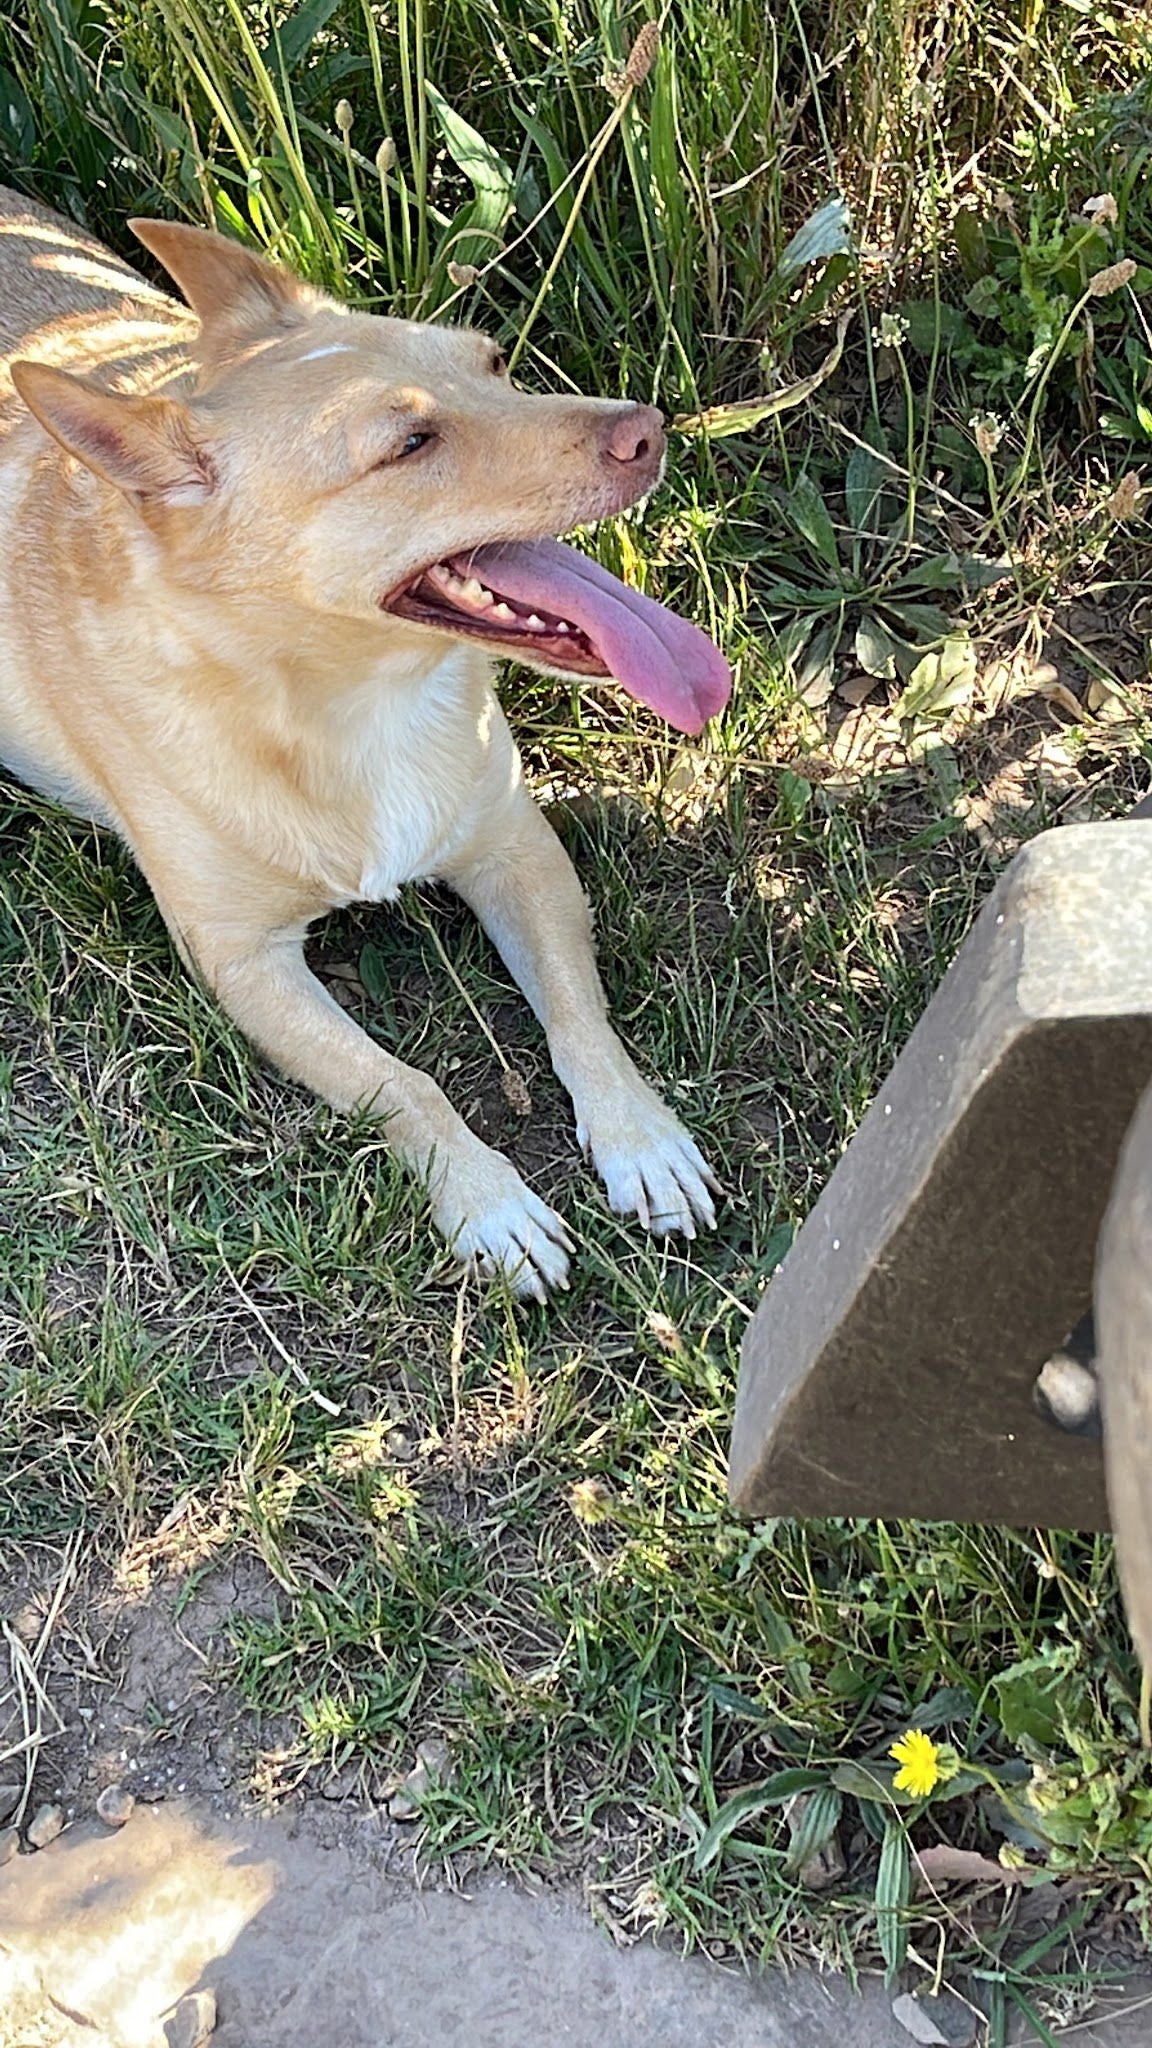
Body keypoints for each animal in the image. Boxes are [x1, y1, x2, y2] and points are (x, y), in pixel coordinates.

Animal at [0, 188, 725, 1294]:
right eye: (409, 445)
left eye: (496, 363)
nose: (648, 428)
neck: (348, 701)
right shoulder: (241, 963)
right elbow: (401, 1084)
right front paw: (489, 1201)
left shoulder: (514, 847)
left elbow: (579, 1013)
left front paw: (640, 1136)